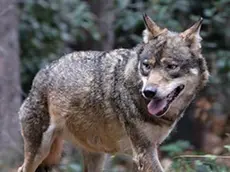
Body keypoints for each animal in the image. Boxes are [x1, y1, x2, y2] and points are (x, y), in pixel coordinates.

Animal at [17, 14, 208, 171]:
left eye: (171, 66)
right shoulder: (143, 151)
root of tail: (42, 72)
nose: (149, 92)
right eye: (147, 65)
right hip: (40, 151)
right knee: (21, 168)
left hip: (94, 156)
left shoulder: (147, 151)